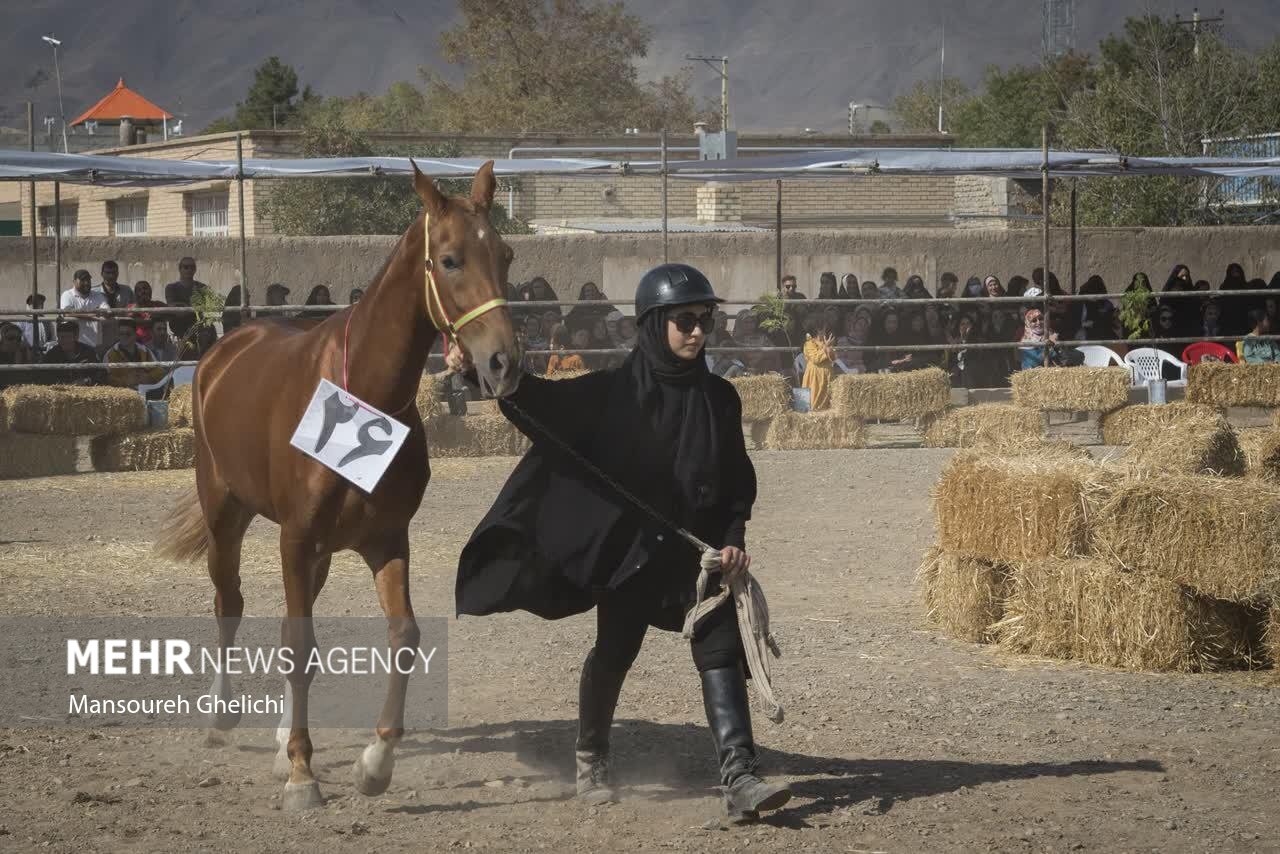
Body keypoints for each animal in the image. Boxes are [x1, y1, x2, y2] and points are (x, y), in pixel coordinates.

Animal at [156, 160, 519, 809]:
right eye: (450, 259)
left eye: (504, 254)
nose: (504, 362)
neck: (364, 397)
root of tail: (224, 350)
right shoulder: (295, 538)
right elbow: (301, 647)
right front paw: (303, 775)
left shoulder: (385, 540)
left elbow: (402, 635)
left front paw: (374, 763)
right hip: (227, 514)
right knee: (229, 603)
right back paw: (223, 718)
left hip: (319, 551)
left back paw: (280, 738)